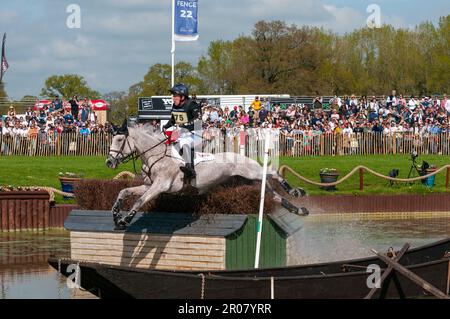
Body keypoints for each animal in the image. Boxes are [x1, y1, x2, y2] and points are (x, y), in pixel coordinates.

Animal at [105, 122, 306, 230]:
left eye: (120, 140)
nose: (109, 162)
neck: (156, 156)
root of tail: (242, 155)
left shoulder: (159, 187)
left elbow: (139, 201)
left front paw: (124, 220)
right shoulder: (148, 186)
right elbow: (123, 192)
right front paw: (115, 215)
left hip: (252, 172)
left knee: (272, 172)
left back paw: (296, 192)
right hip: (252, 181)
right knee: (274, 195)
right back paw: (299, 209)